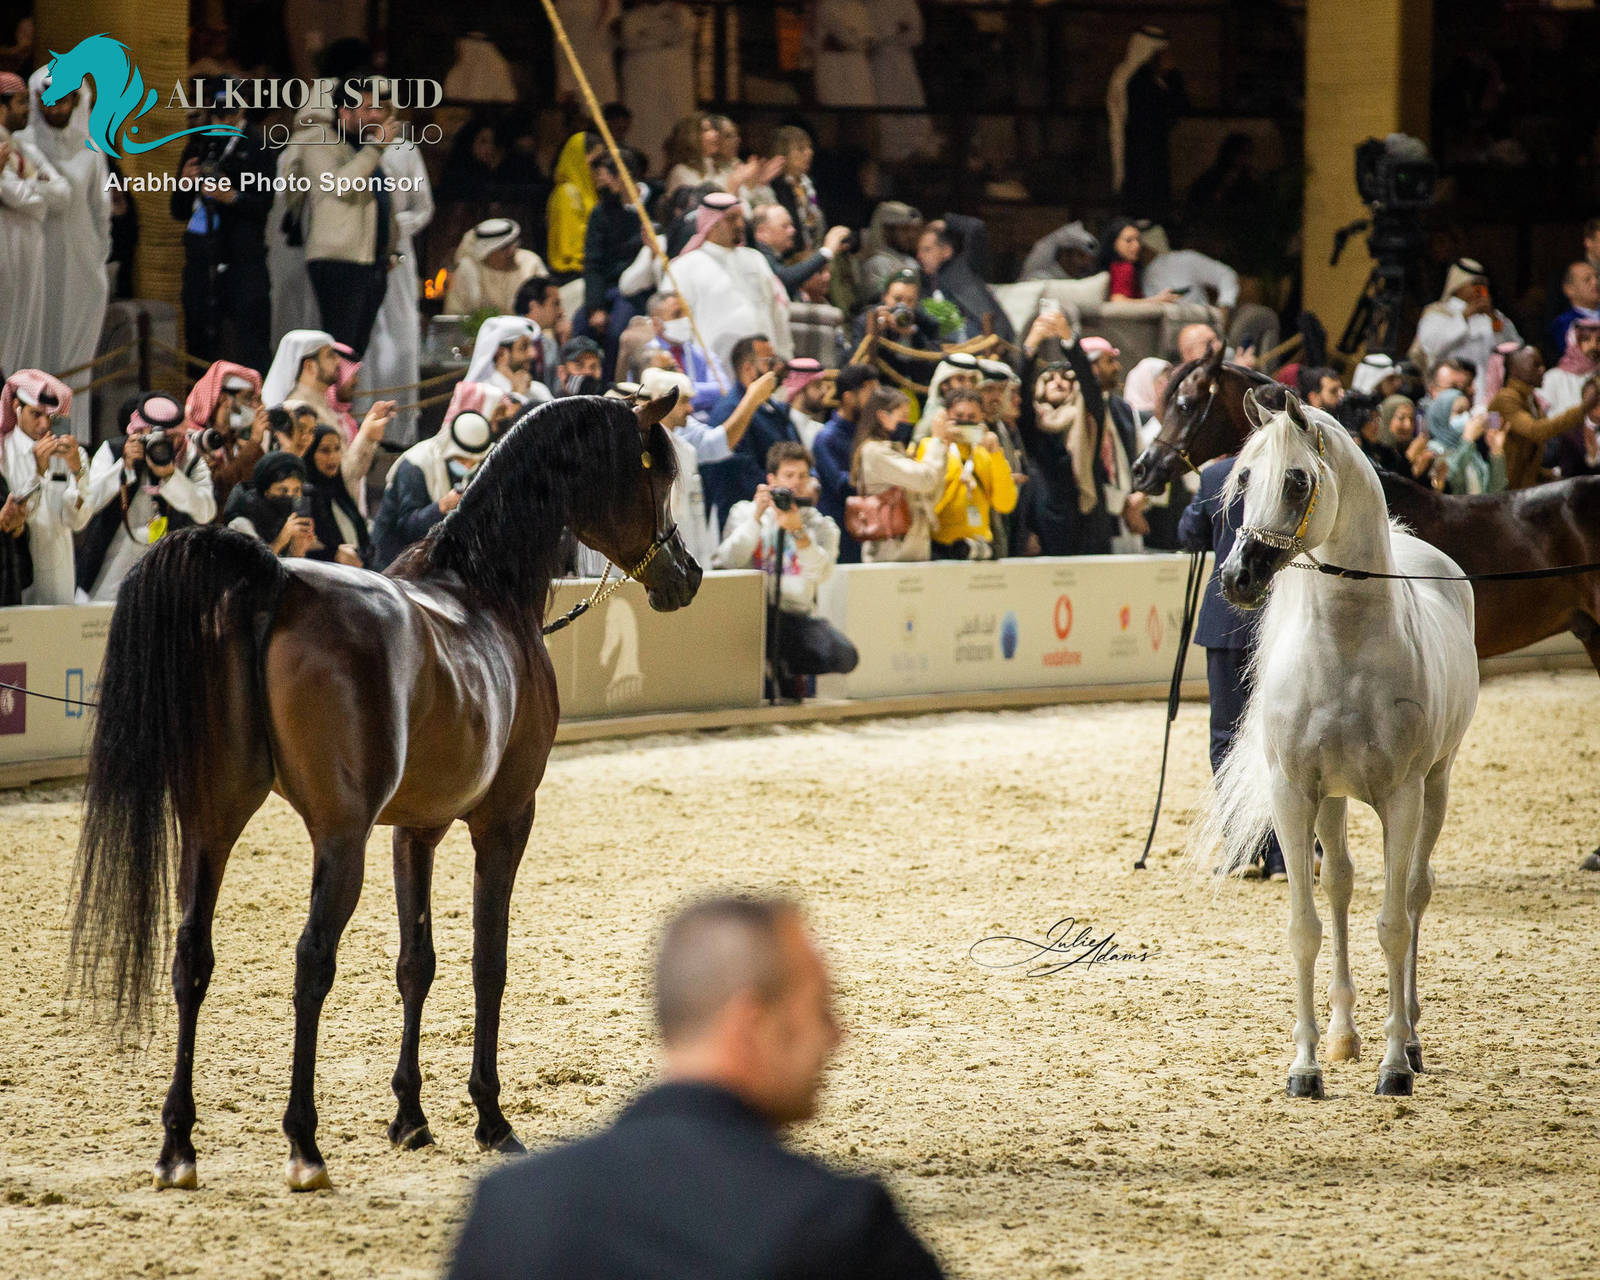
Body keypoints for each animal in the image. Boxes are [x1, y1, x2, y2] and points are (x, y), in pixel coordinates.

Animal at [69, 392, 698, 1192]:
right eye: (657, 474)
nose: (687, 574)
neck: (486, 591)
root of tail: (276, 584)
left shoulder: (415, 829)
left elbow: (415, 963)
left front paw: (410, 1117)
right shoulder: (503, 818)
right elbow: (488, 962)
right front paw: (491, 1117)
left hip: (213, 822)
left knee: (192, 959)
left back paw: (178, 1145)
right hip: (340, 837)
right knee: (311, 961)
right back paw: (304, 1145)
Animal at [1194, 390, 1479, 1099]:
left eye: (1297, 481)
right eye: (1243, 480)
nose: (1237, 578)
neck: (1346, 647)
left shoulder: (1402, 797)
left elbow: (1393, 924)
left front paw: (1393, 1067)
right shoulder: (1295, 794)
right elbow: (1305, 927)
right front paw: (1306, 1067)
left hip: (1435, 787)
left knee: (1415, 894)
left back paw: (1410, 1039)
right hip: (1333, 801)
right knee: (1342, 888)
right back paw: (1344, 1035)